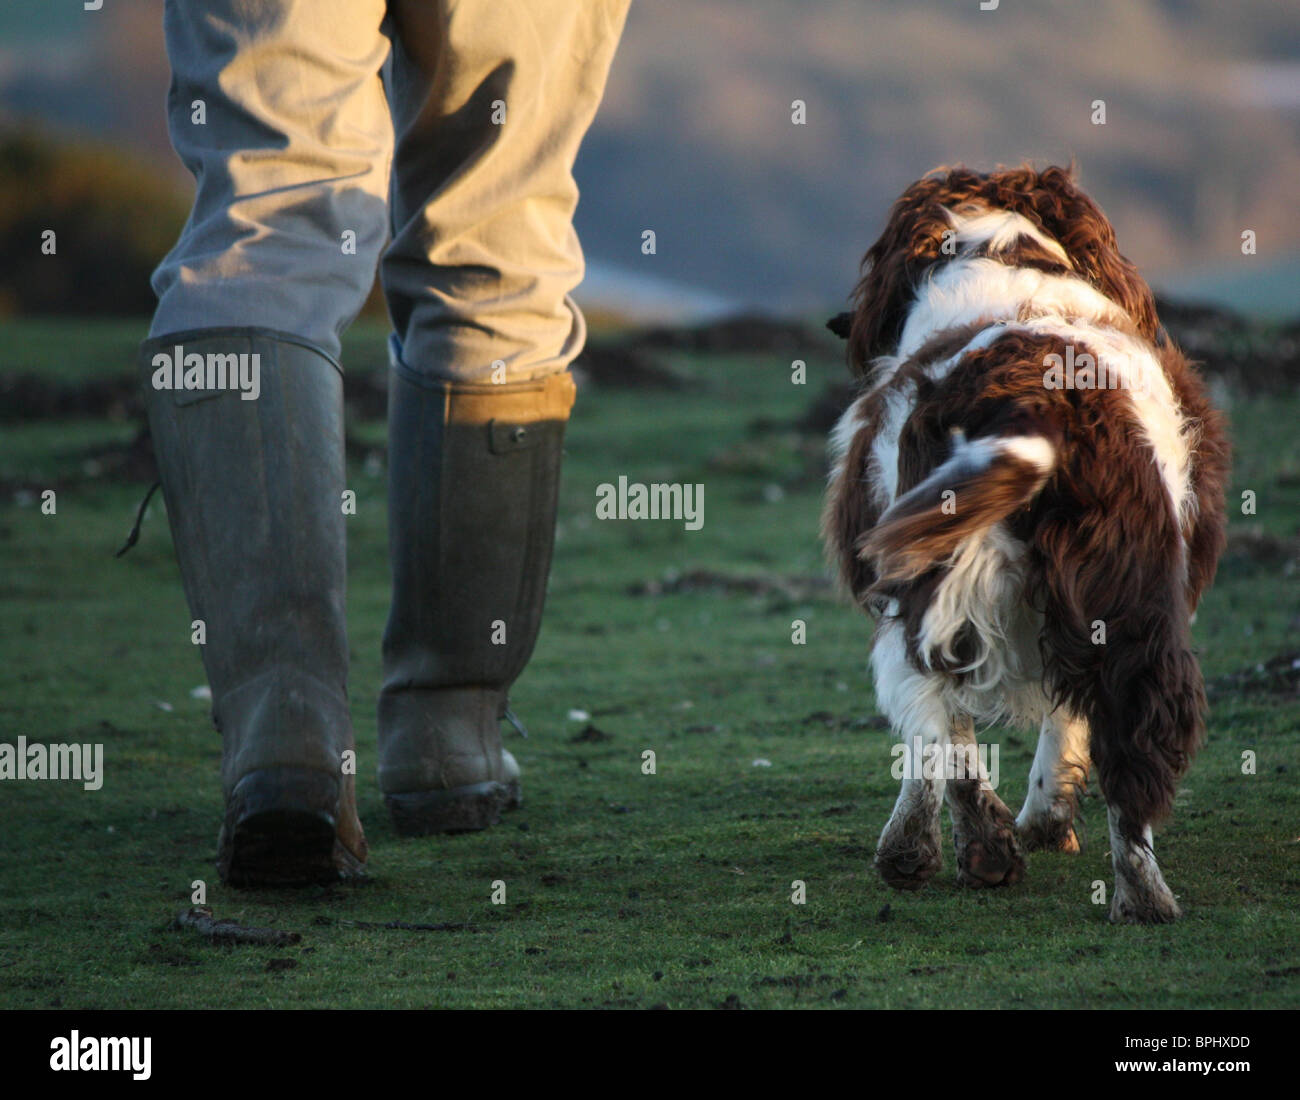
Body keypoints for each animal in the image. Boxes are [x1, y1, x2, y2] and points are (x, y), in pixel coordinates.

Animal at [821, 165, 1227, 920]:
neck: (997, 253)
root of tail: (1037, 402)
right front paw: (1038, 822)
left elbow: (942, 732)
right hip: (1134, 603)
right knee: (1135, 744)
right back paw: (1142, 897)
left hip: (935, 580)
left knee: (940, 714)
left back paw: (961, 851)